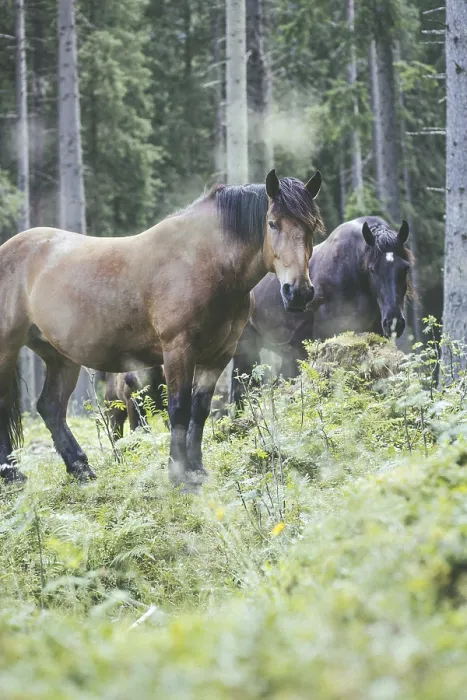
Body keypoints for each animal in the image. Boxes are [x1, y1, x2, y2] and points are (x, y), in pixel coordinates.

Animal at [0, 168, 323, 490]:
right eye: (272, 223)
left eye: (312, 227)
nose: (298, 293)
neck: (203, 261)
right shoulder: (178, 350)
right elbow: (179, 409)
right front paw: (178, 474)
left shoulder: (218, 356)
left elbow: (199, 410)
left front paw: (196, 469)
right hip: (8, 349)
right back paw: (13, 475)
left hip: (61, 357)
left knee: (50, 407)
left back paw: (80, 469)